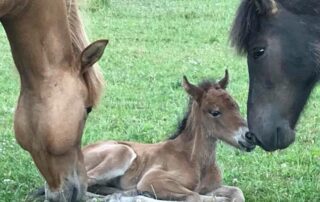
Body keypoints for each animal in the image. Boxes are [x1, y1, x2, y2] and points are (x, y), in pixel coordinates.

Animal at [82, 70, 255, 201]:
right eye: (215, 112)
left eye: (236, 106)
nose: (250, 136)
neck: (195, 160)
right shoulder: (152, 179)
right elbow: (195, 196)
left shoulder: (211, 188)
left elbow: (237, 193)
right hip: (123, 152)